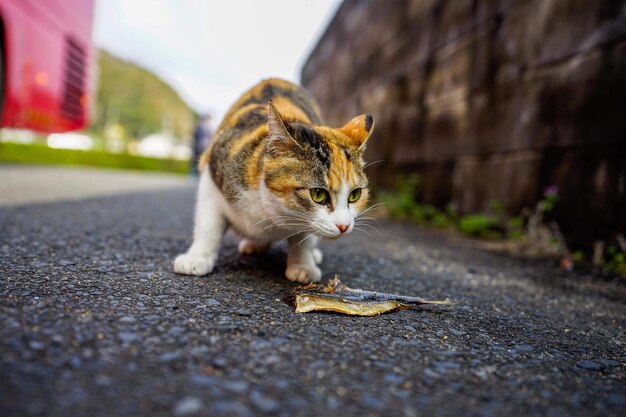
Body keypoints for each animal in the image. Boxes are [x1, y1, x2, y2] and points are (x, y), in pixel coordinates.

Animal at [173, 78, 372, 282]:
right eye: (318, 194)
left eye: (355, 195)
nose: (344, 226)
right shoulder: (212, 168)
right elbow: (208, 224)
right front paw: (197, 258)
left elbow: (305, 238)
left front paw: (302, 266)